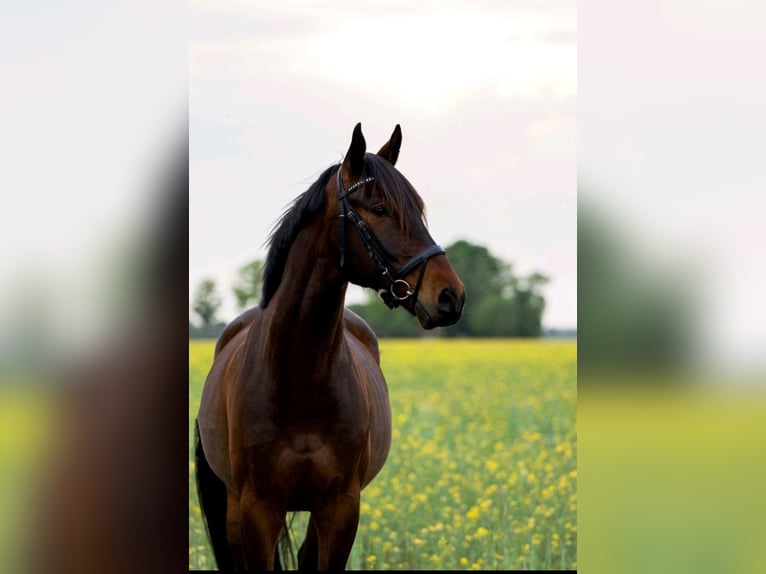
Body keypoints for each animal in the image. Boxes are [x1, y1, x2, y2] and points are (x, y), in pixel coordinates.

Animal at [194, 123, 465, 570]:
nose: (451, 296)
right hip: (234, 507)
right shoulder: (257, 510)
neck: (300, 375)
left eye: (419, 211)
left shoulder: (340, 509)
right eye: (380, 209)